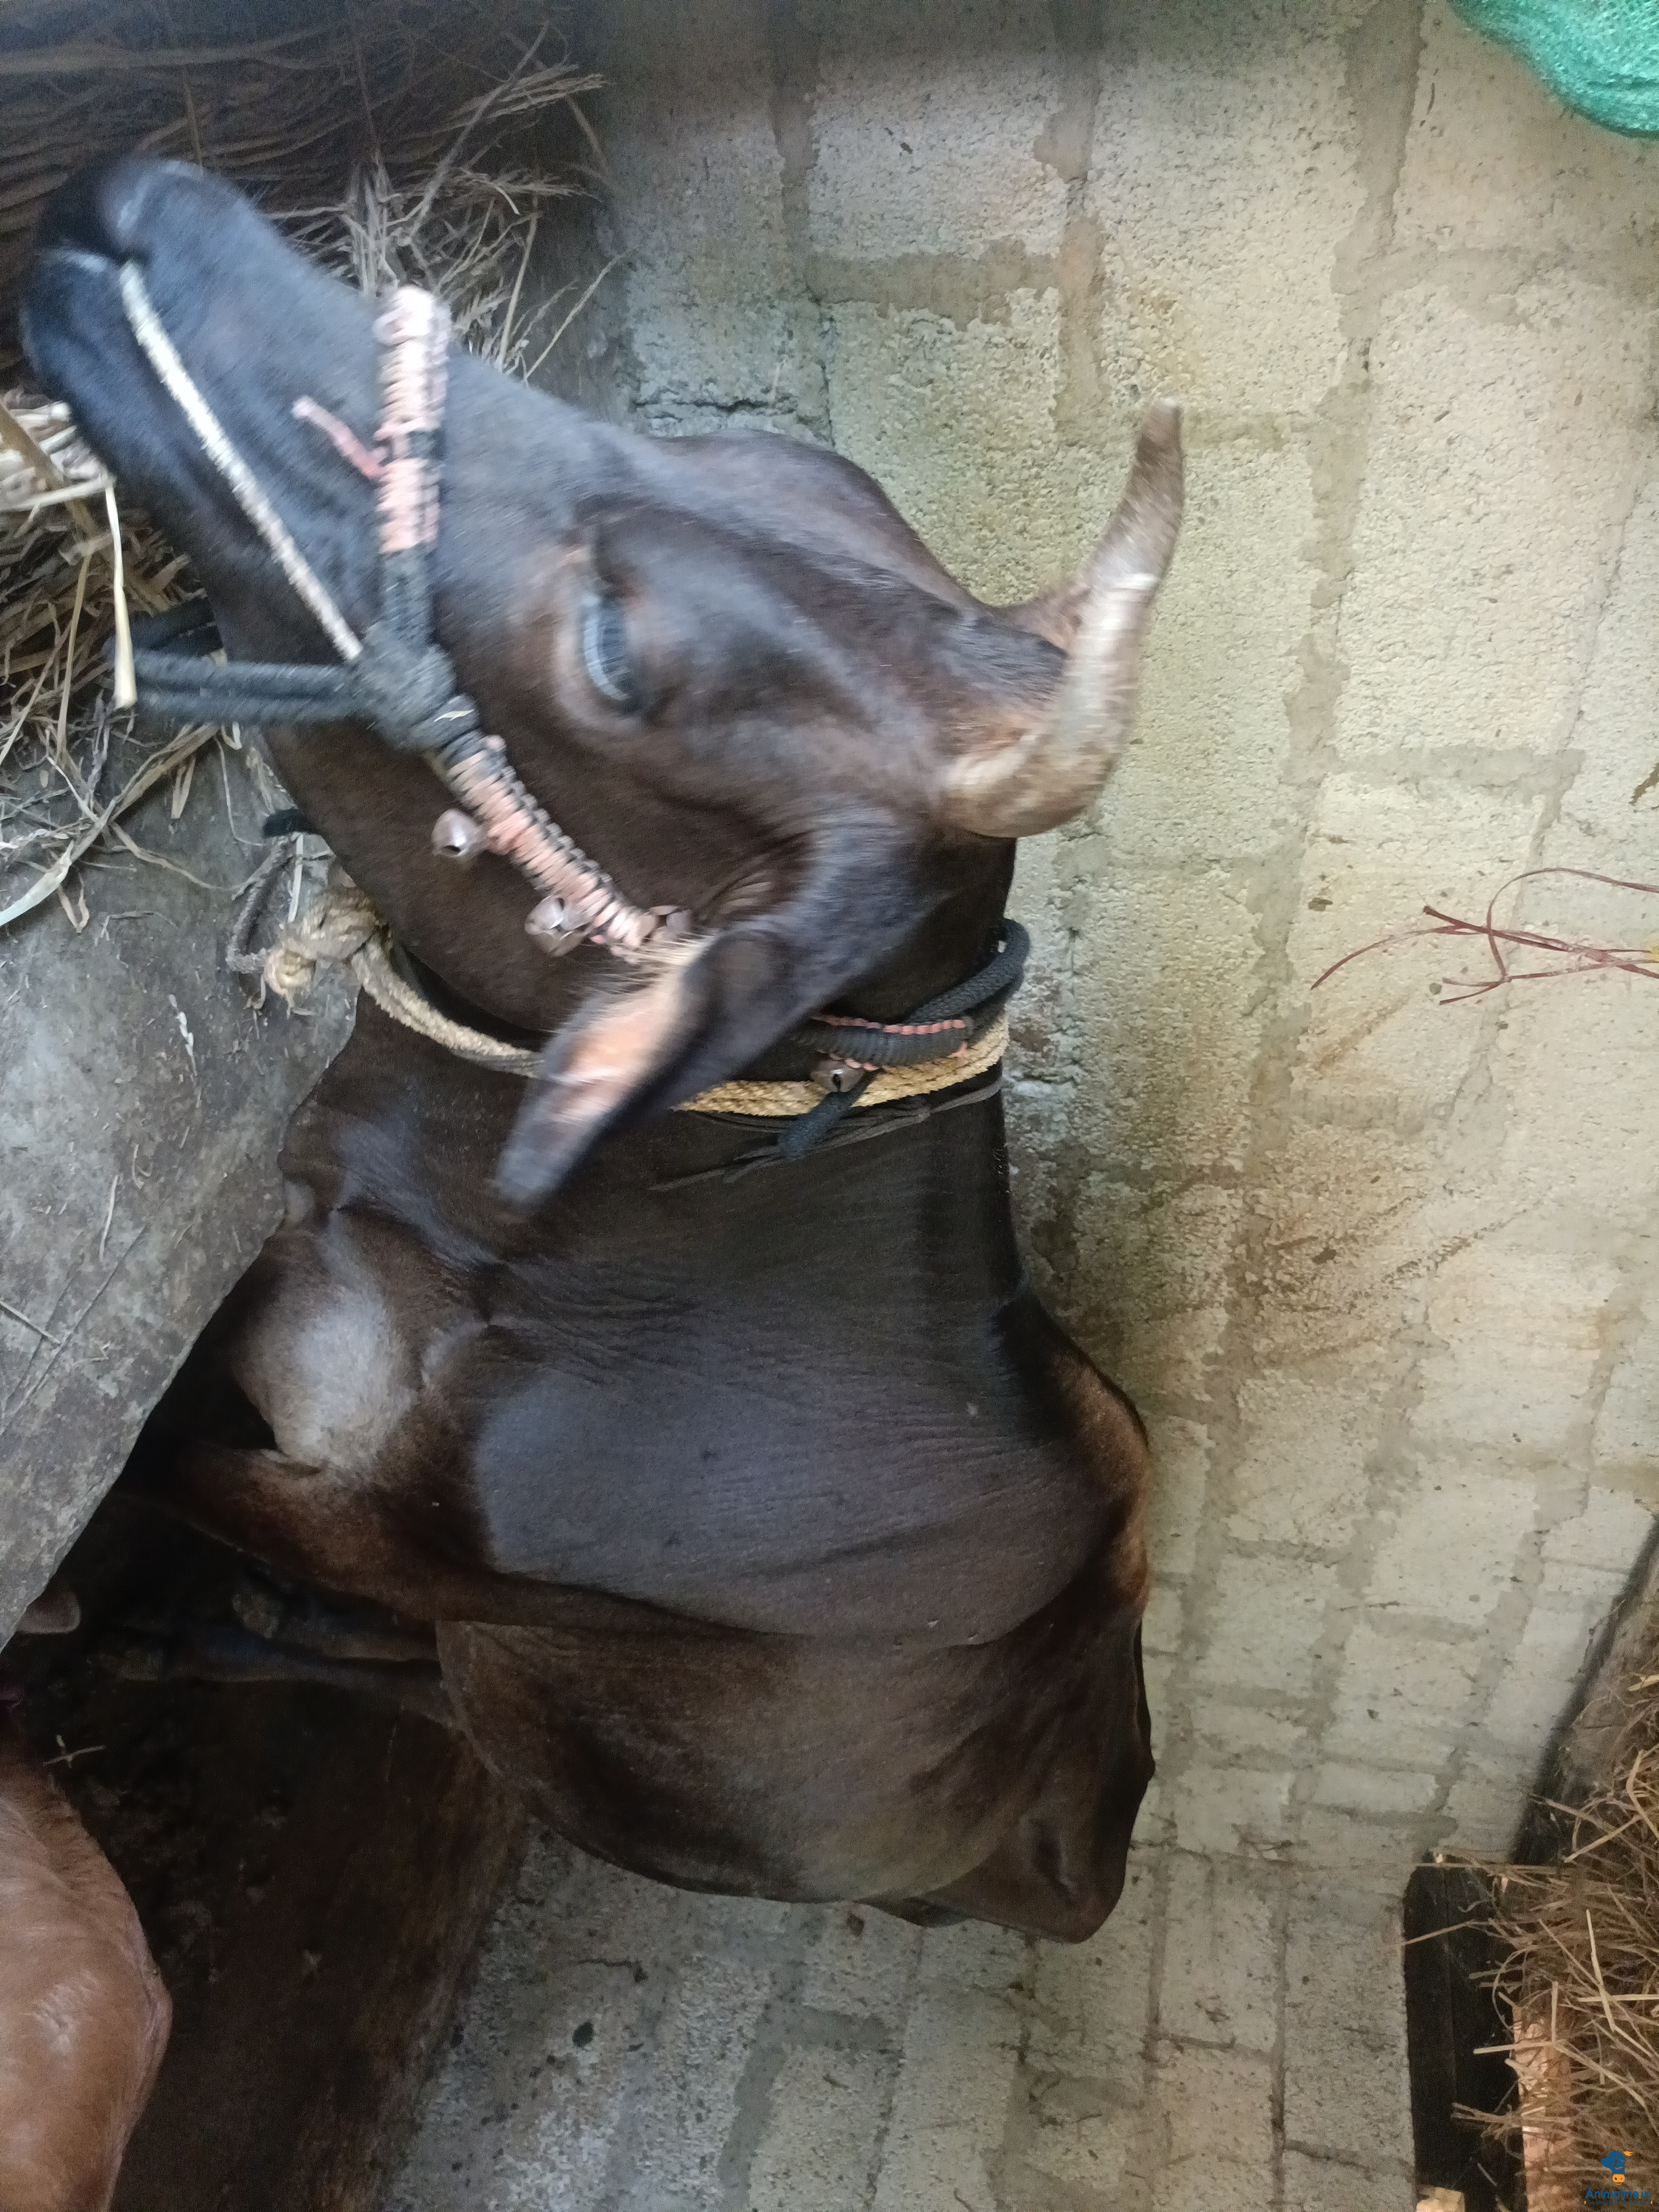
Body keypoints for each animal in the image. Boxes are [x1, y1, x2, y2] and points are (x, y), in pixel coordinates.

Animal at [22, 158, 1181, 1943]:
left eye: (617, 654)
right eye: (754, 462)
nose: (155, 203)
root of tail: (1087, 1861)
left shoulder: (406, 1540)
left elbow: (159, 1462)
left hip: (539, 1708)